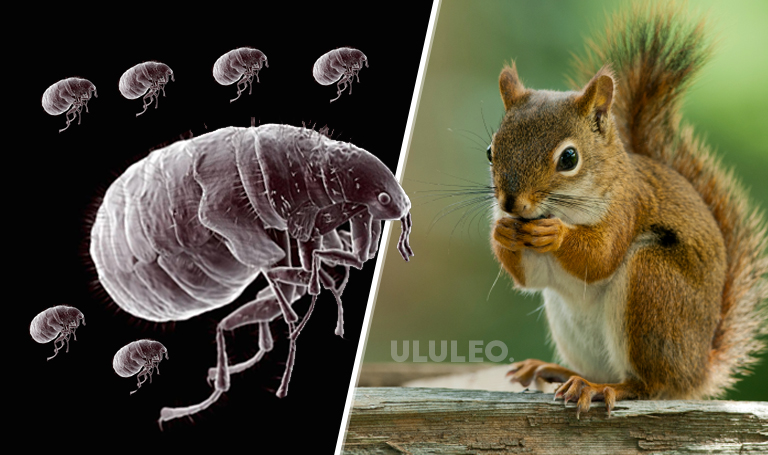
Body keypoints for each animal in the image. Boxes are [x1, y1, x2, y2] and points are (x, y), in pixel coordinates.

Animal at [489, 3, 768, 418]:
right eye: (490, 151)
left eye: (569, 158)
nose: (510, 203)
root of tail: (696, 372)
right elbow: (531, 277)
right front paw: (502, 231)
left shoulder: (627, 208)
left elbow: (600, 256)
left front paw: (555, 234)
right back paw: (556, 371)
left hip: (652, 286)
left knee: (647, 385)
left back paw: (601, 388)